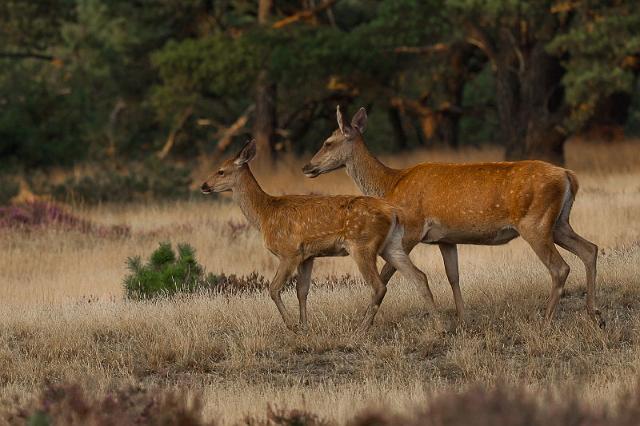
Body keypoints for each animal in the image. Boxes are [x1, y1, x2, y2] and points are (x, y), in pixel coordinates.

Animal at [200, 140, 440, 332]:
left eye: (221, 171)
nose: (204, 185)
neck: (265, 214)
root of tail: (393, 211)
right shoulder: (307, 256)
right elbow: (302, 291)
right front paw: (305, 326)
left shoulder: (289, 252)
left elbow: (274, 288)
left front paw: (292, 326)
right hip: (392, 245)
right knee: (419, 276)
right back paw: (439, 325)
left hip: (362, 244)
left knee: (379, 285)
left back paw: (361, 328)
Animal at [302, 106, 604, 326]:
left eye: (328, 142)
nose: (307, 167)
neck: (390, 185)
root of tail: (569, 176)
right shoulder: (445, 238)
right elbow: (453, 276)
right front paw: (462, 321)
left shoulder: (411, 228)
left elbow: (388, 275)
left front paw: (364, 323)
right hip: (559, 222)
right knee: (590, 249)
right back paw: (595, 315)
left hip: (535, 222)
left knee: (560, 267)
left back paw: (545, 321)